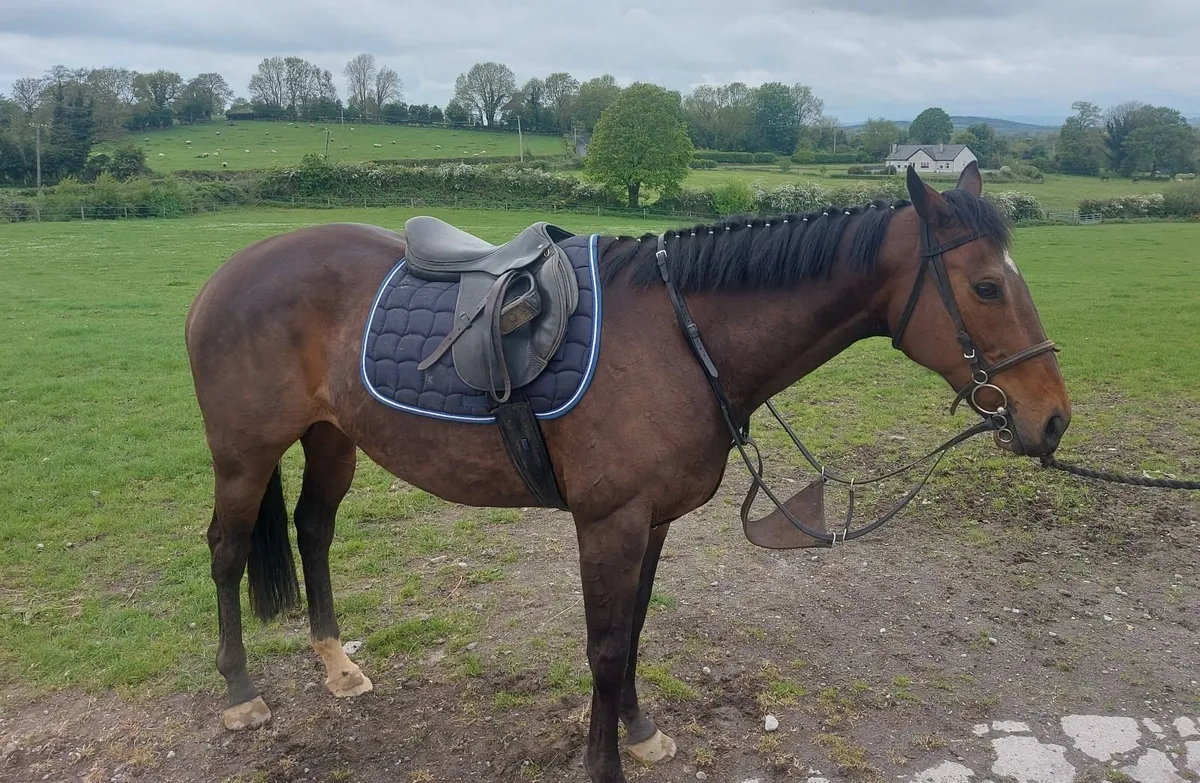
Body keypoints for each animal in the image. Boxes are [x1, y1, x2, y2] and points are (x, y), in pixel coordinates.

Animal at [184, 163, 1070, 783]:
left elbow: (636, 630)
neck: (679, 337)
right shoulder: (608, 521)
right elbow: (606, 646)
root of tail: (226, 273)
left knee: (313, 530)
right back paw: (239, 693)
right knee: (226, 551)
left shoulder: (655, 520)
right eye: (986, 286)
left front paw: (640, 732)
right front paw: (603, 759)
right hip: (243, 454)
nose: (1053, 418)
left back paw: (335, 664)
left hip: (332, 439)